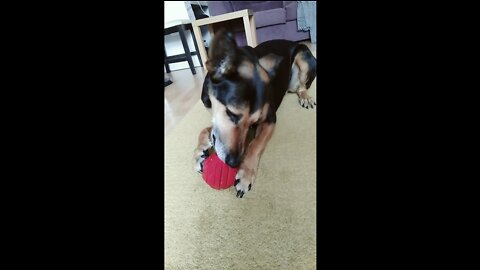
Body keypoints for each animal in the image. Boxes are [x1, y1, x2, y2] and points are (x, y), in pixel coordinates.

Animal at [193, 29, 316, 198]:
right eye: (232, 114)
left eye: (253, 123)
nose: (234, 163)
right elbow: (206, 130)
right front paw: (200, 151)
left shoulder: (270, 119)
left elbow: (256, 144)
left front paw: (246, 174)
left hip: (304, 59)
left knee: (301, 87)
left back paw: (305, 97)